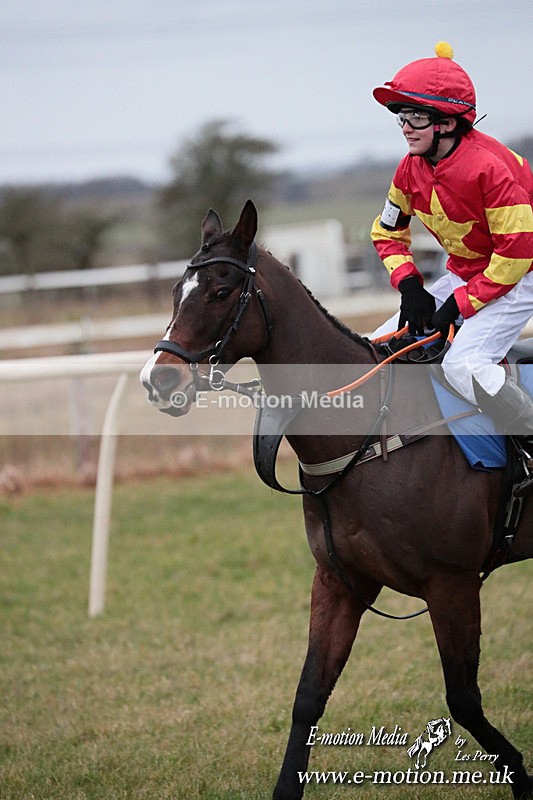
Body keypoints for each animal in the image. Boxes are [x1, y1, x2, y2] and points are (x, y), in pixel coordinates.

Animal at [140, 200, 532, 799]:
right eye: (175, 290)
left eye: (222, 291)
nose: (157, 380)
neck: (372, 434)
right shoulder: (339, 582)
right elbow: (308, 695)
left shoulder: (453, 582)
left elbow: (464, 700)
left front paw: (523, 776)